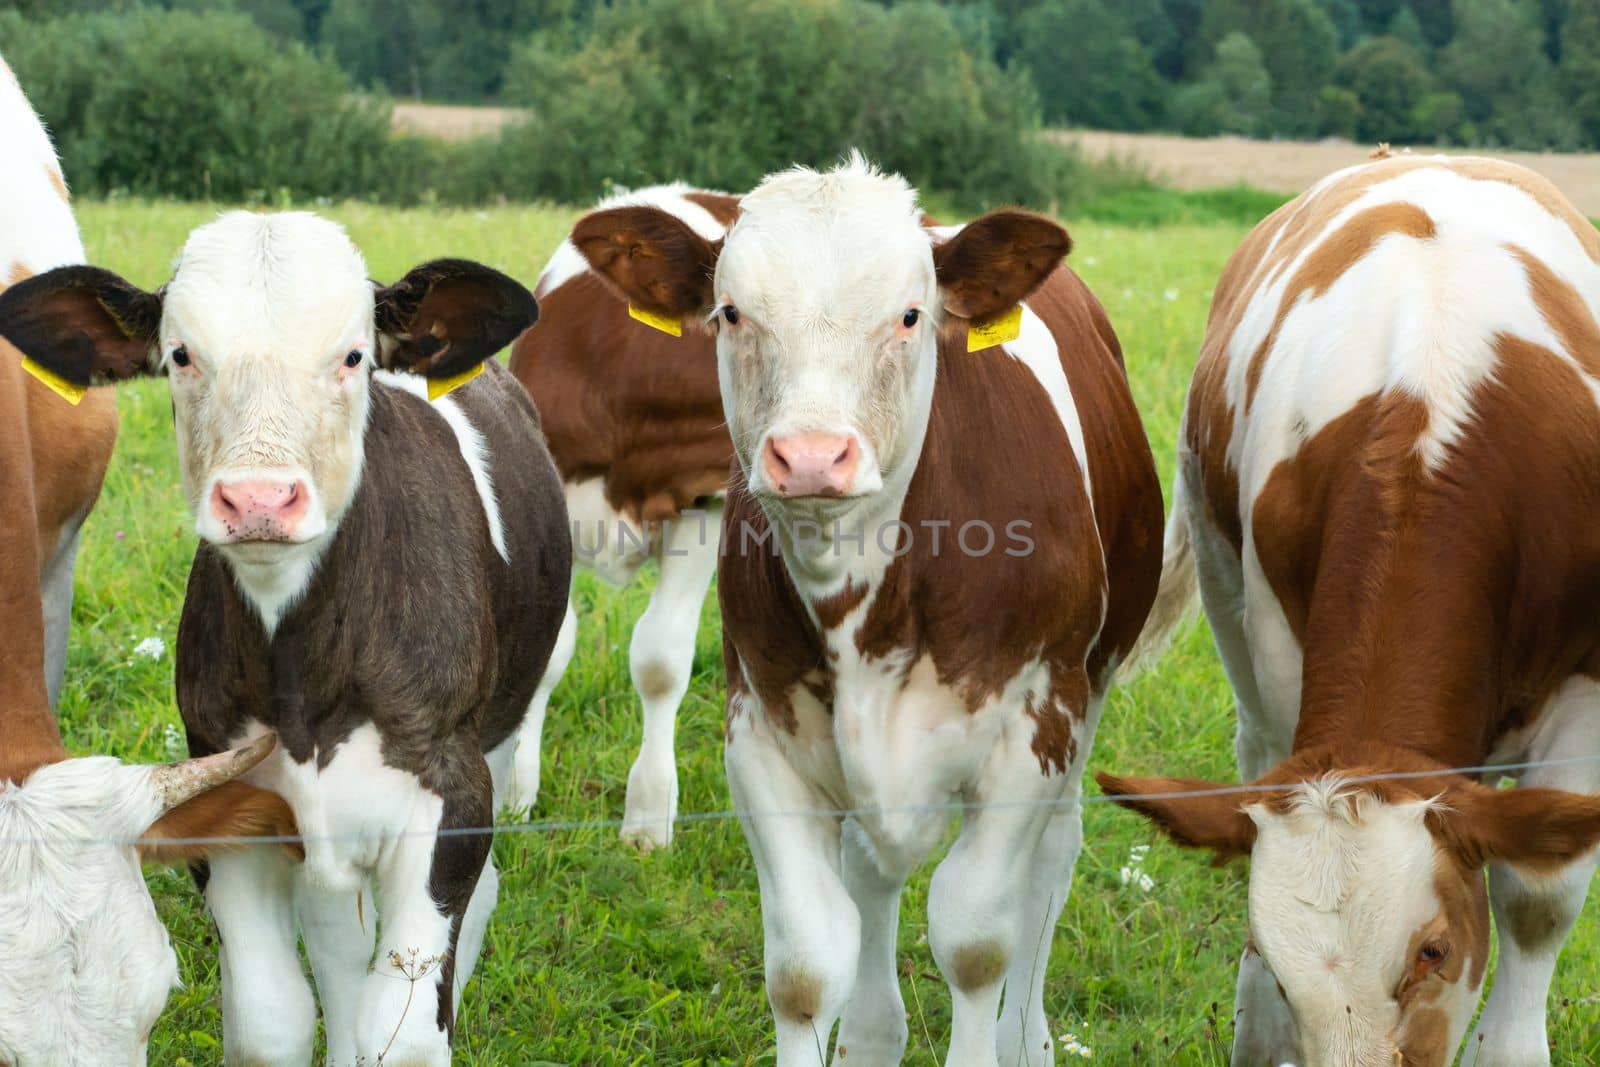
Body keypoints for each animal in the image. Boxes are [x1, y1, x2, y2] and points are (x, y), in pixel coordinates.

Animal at [0, 211, 572, 1067]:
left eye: (353, 354)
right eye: (181, 353)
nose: (260, 498)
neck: (307, 671)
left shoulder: (450, 793)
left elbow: (404, 1033)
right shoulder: (240, 795)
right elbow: (273, 1020)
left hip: (502, 736)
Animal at [576, 151, 1164, 1067]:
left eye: (910, 315)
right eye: (731, 311)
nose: (813, 455)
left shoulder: (1030, 733)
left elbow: (976, 942)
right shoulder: (762, 734)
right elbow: (806, 963)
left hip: (1086, 696)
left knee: (1053, 861)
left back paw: (1028, 1037)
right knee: (872, 872)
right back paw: (872, 1033)